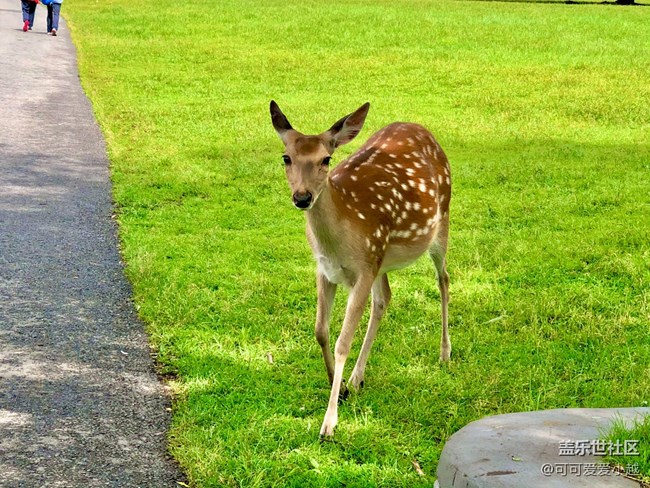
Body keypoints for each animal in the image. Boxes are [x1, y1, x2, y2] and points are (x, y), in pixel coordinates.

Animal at [269, 101, 452, 438]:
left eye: (326, 159)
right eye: (286, 157)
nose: (302, 197)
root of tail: (422, 129)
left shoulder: (364, 268)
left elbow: (342, 342)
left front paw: (329, 423)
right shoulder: (325, 269)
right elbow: (321, 331)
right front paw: (337, 384)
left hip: (440, 222)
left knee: (443, 279)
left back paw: (444, 353)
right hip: (381, 259)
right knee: (384, 298)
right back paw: (356, 378)